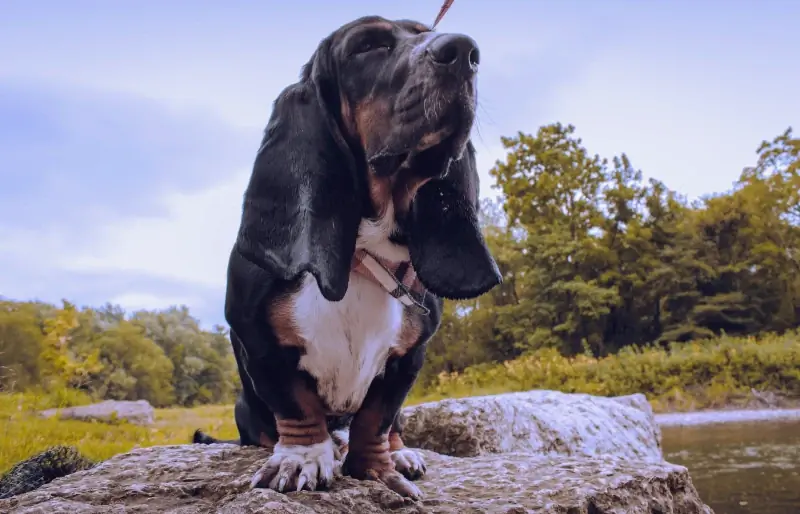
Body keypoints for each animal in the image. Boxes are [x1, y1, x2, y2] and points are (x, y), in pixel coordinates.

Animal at [193, 15, 500, 496]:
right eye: (366, 46)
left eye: (427, 31)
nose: (466, 52)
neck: (363, 251)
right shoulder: (255, 336)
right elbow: (295, 405)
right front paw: (300, 459)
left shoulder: (408, 357)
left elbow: (377, 418)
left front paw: (378, 468)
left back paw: (398, 452)